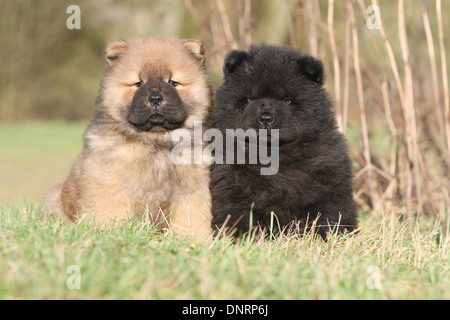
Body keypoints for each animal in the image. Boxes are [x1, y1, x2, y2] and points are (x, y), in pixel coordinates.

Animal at [212, 43, 358, 238]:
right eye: (250, 98)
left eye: (286, 100)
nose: (266, 118)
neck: (274, 154)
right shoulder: (231, 185)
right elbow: (236, 214)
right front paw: (240, 237)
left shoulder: (328, 183)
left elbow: (327, 215)